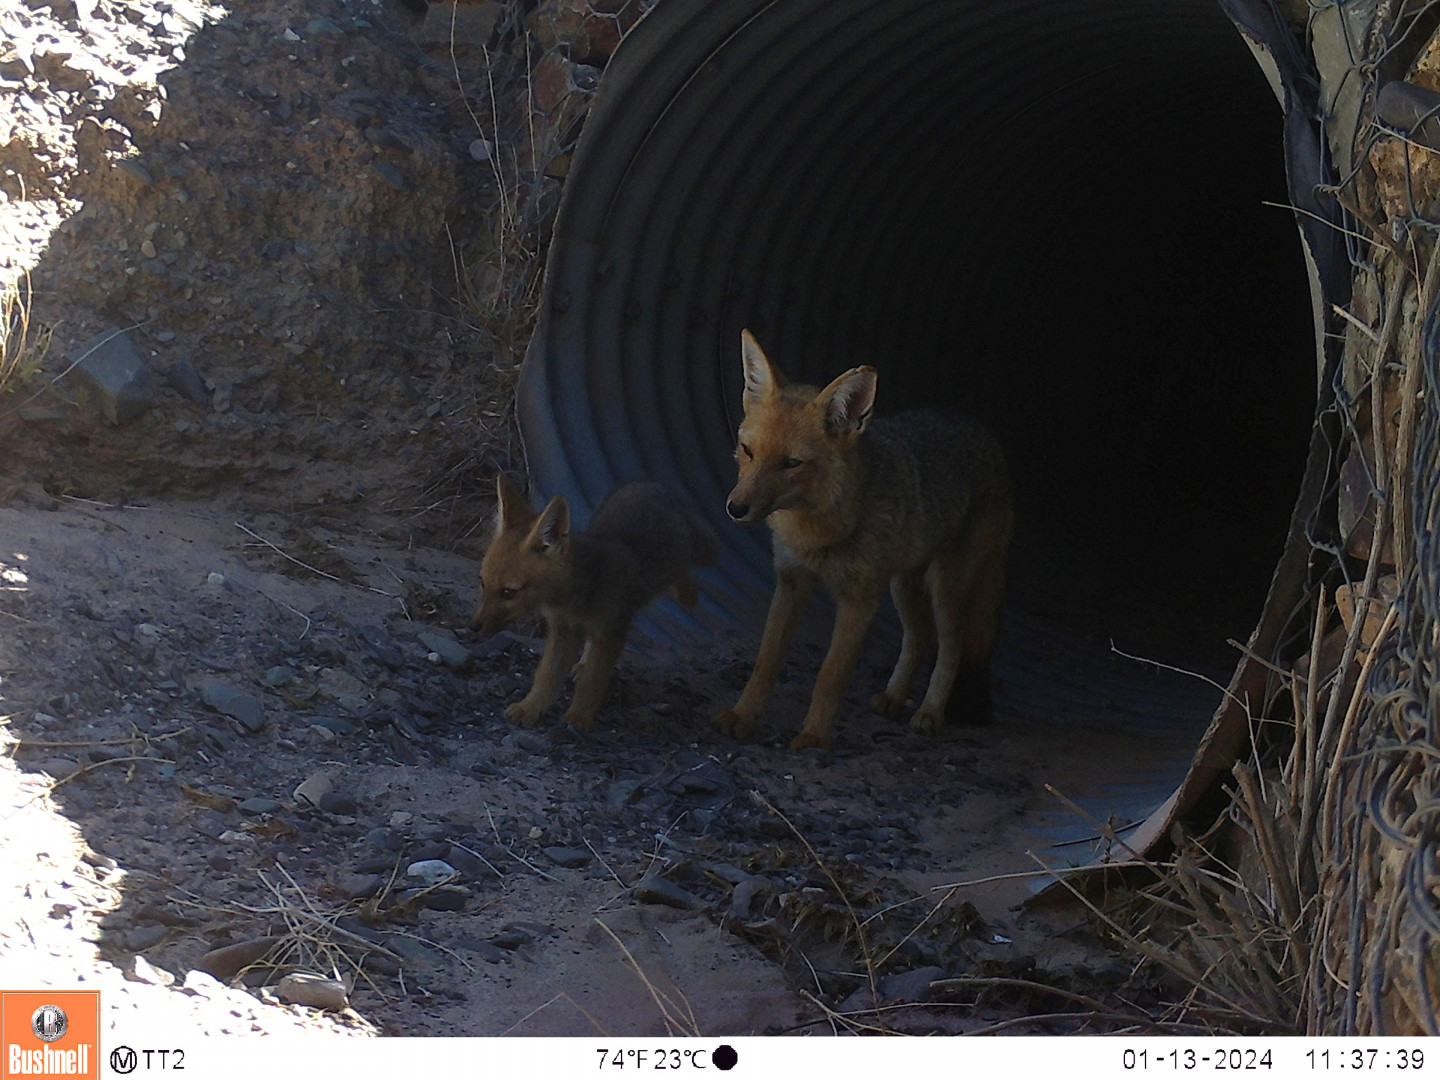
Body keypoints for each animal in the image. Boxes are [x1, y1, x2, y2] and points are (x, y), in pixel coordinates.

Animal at [711, 329, 1008, 754]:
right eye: (748, 451)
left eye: (791, 463)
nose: (735, 508)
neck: (818, 533)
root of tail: (984, 433)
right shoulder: (792, 582)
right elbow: (765, 661)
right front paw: (743, 716)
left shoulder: (859, 600)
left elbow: (830, 675)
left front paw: (815, 737)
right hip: (903, 585)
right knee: (919, 636)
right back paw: (894, 697)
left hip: (945, 589)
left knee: (951, 646)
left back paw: (930, 713)